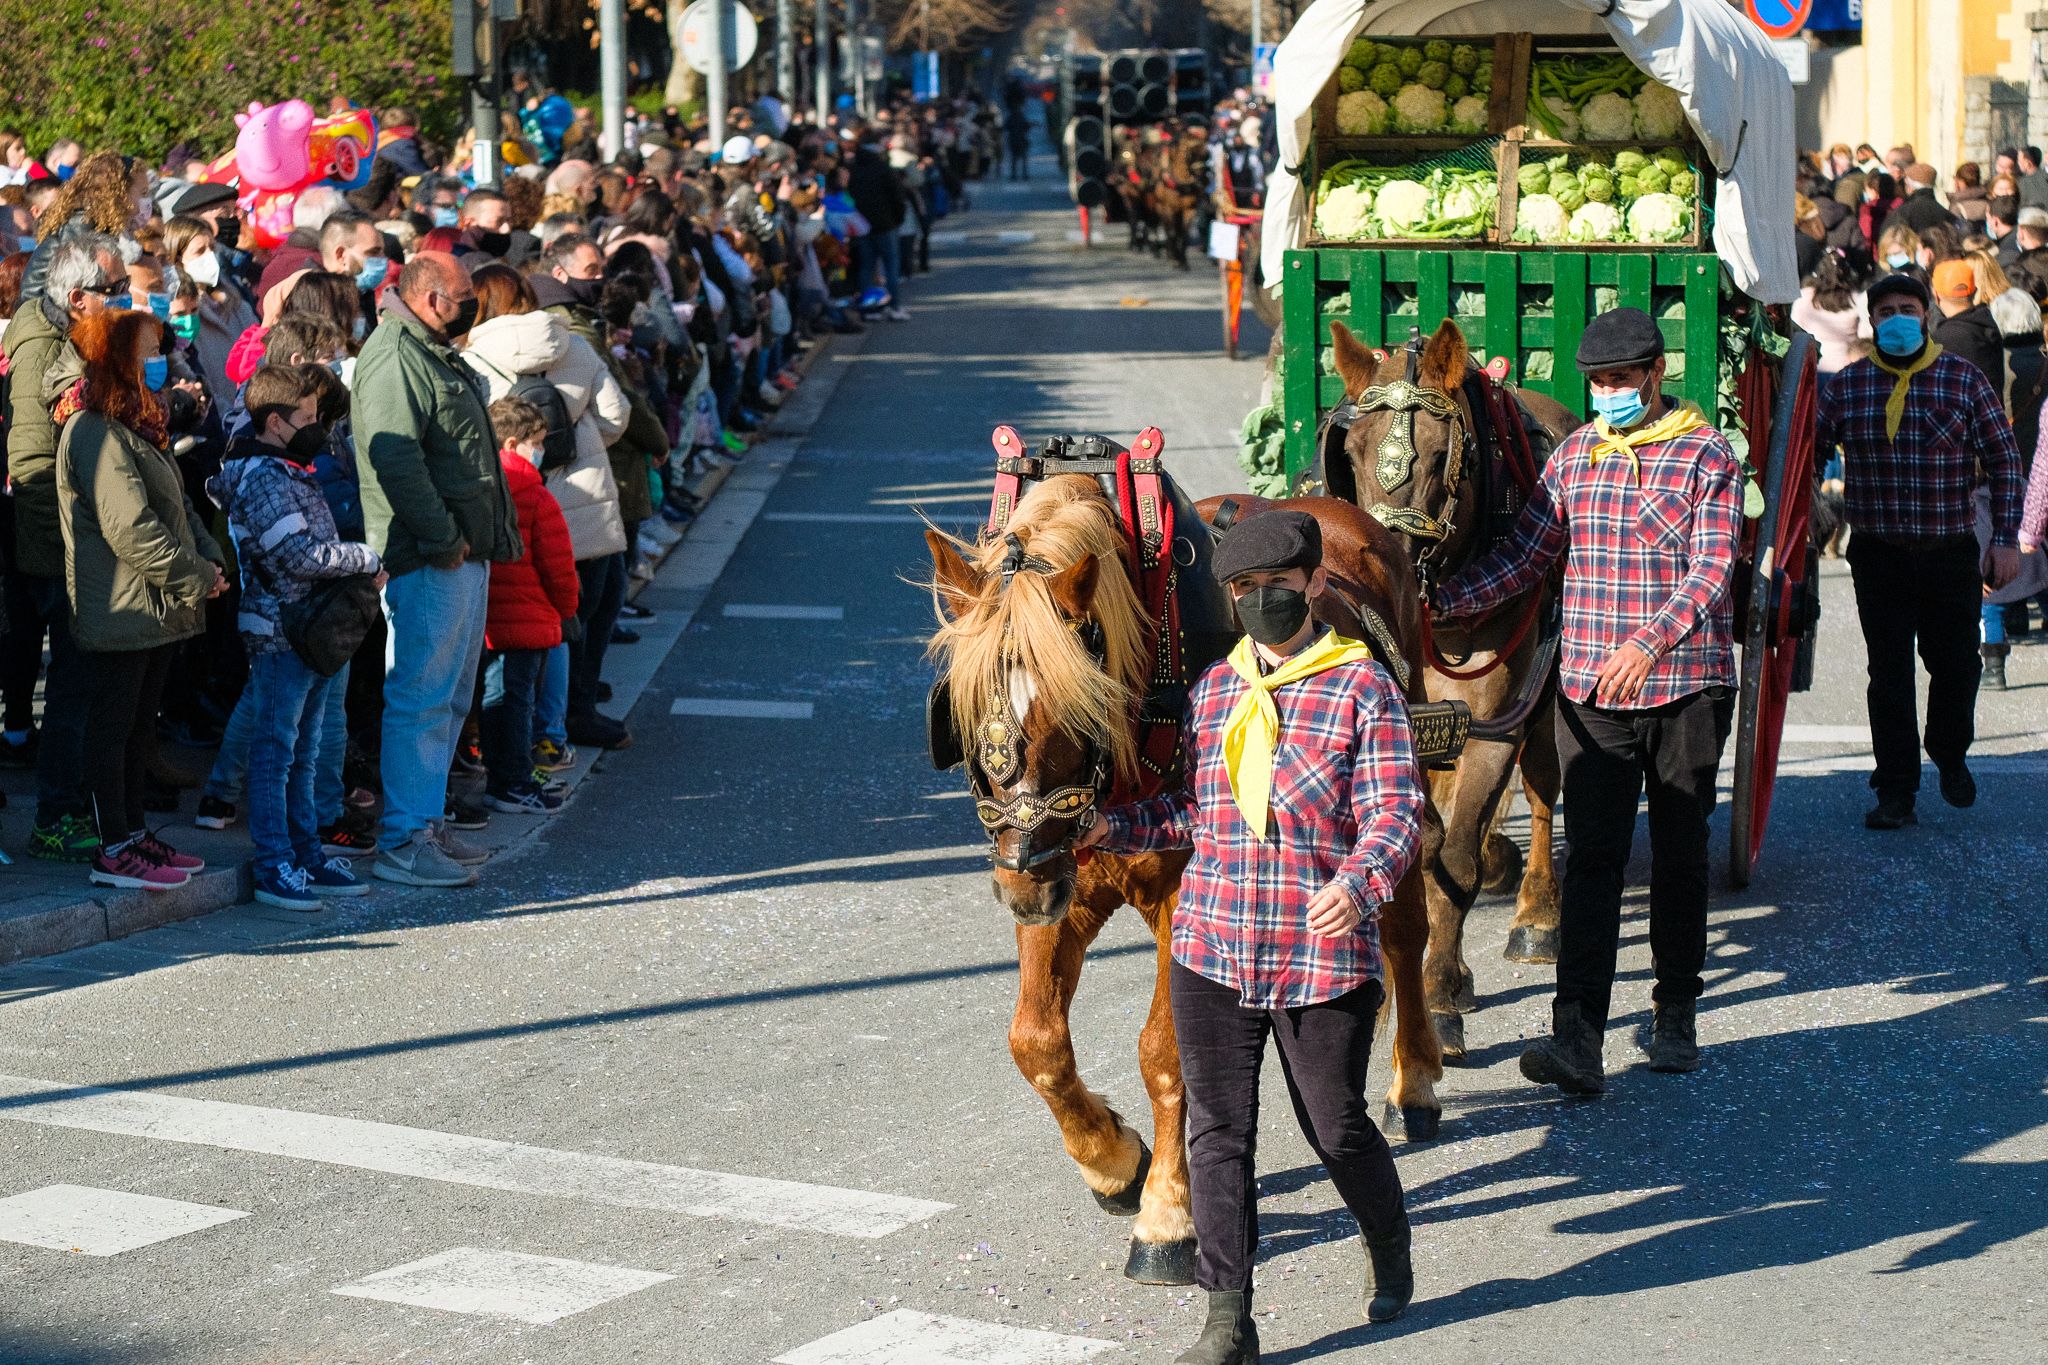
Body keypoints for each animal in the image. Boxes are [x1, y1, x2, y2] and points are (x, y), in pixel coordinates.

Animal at [921, 474, 1449, 1285]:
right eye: (966, 706)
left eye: (1076, 707)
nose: (1020, 883)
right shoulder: (1068, 882)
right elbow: (1035, 1041)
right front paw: (1112, 1161)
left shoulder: (1184, 898)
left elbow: (1165, 1054)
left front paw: (1167, 1214)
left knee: (1400, 931)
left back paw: (1413, 1082)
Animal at [1318, 317, 1572, 1055]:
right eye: (1352, 450)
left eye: (1440, 456)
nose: (1384, 561)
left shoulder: (1494, 724)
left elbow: (1452, 858)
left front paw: (1438, 992)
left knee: (1542, 784)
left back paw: (1536, 913)